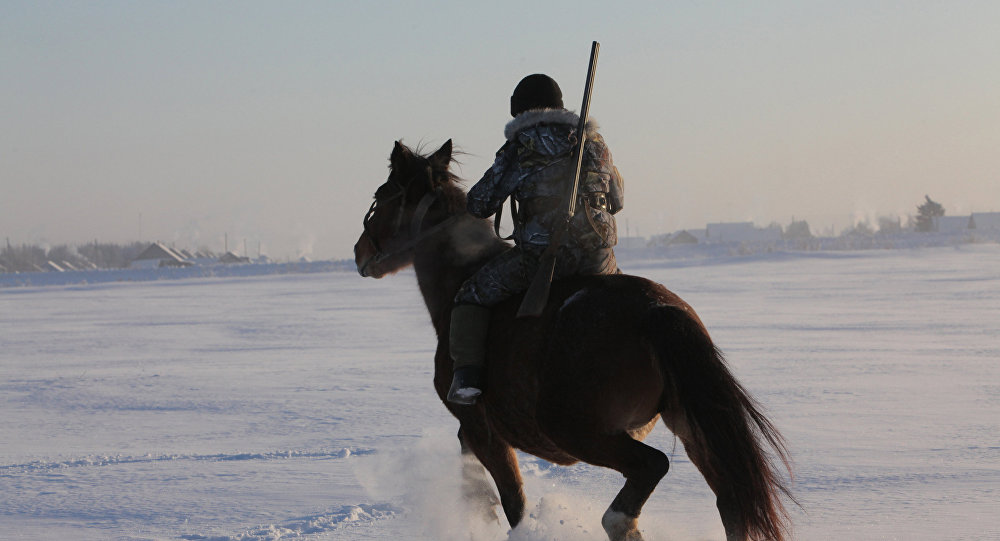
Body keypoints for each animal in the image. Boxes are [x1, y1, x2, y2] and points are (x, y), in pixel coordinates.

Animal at [356, 140, 792, 540]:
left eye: (380, 196)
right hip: (689, 427)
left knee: (652, 468)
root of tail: (657, 310)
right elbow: (478, 495)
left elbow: (513, 505)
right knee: (730, 502)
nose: (359, 252)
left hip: (577, 430)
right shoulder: (471, 433)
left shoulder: (483, 431)